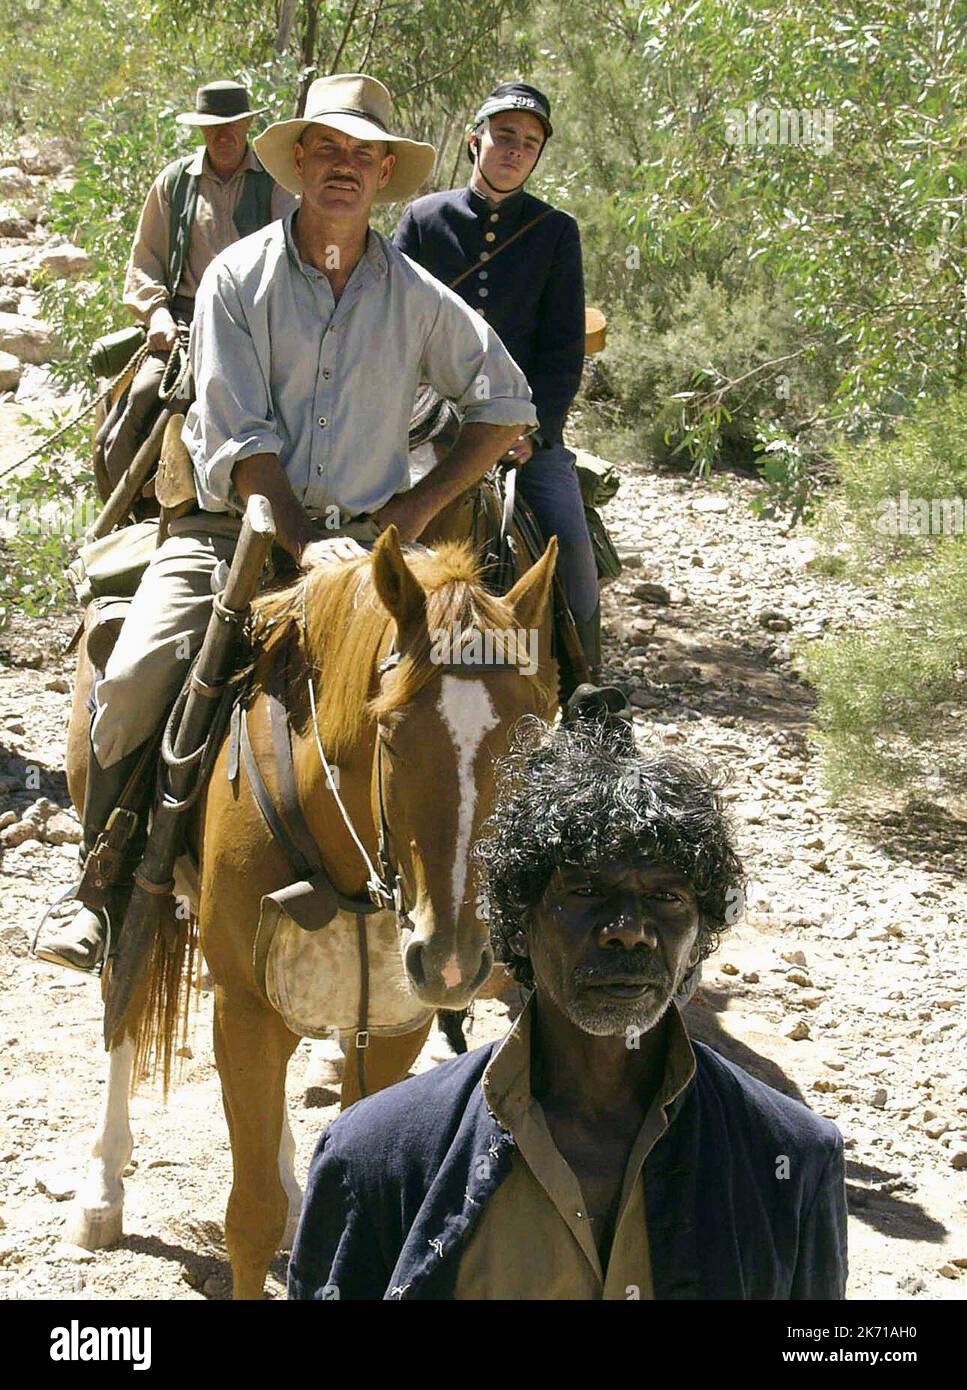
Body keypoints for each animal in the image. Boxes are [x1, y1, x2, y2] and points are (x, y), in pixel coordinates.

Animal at [60, 525, 555, 1295]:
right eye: (391, 733)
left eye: (528, 746)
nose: (453, 961)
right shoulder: (243, 1009)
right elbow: (250, 1215)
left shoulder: (393, 1024)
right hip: (133, 882)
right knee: (123, 993)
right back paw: (102, 1189)